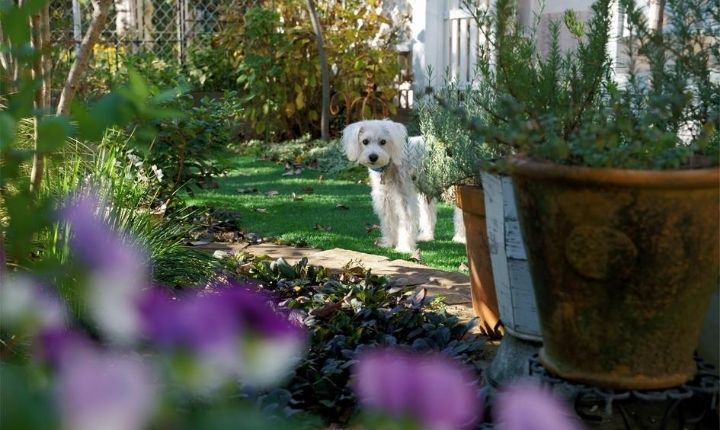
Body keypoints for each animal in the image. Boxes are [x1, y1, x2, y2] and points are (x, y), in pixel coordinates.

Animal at [344, 118, 466, 252]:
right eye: (365, 141)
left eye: (383, 141)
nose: (373, 157)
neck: (389, 165)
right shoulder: (384, 199)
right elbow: (388, 222)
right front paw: (389, 243)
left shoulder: (405, 198)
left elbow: (406, 222)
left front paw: (404, 248)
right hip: (426, 192)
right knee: (429, 214)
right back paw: (426, 236)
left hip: (456, 189)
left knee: (460, 214)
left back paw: (461, 238)